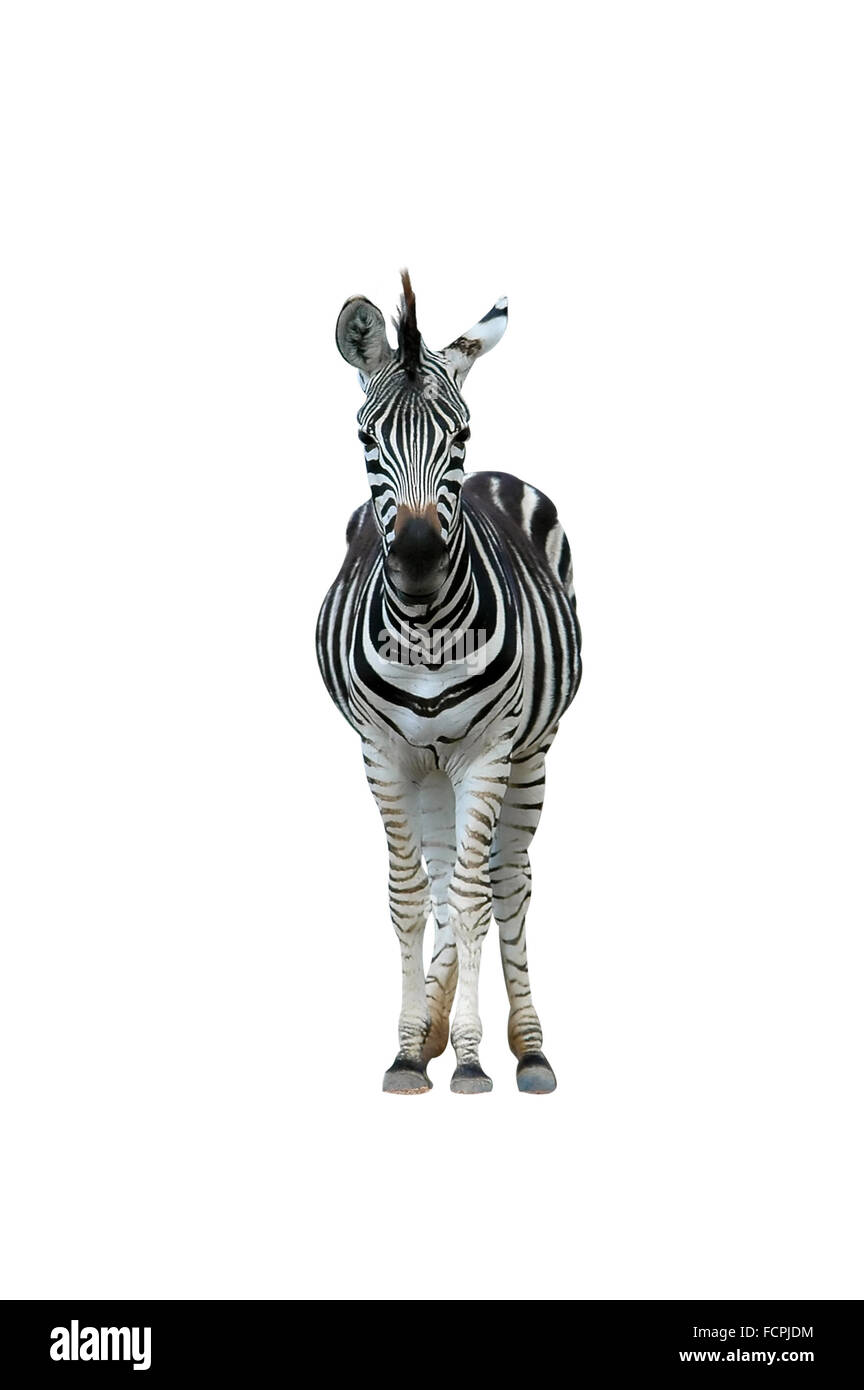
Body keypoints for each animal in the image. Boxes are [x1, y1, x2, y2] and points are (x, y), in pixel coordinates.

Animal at [316, 272, 581, 1094]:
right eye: (366, 440)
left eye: (459, 437)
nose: (419, 556)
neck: (429, 630)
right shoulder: (385, 755)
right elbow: (411, 896)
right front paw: (410, 1049)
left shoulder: (488, 754)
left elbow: (472, 897)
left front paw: (470, 1058)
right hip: (430, 769)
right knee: (440, 881)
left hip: (531, 754)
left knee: (507, 883)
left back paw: (529, 1048)